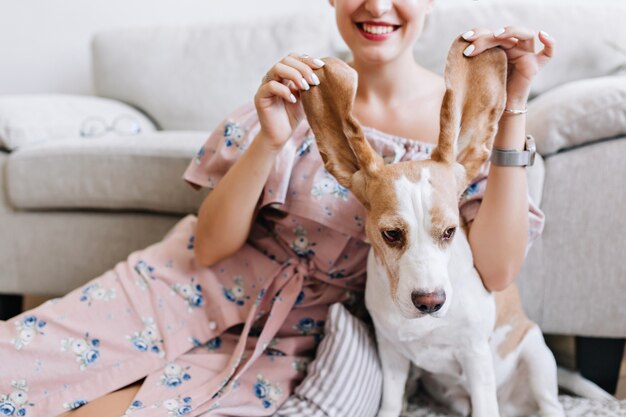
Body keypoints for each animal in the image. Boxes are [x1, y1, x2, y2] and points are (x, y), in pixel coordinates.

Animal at [302, 39, 564, 416]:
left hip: (537, 353)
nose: (430, 302)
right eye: (391, 234)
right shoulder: (392, 355)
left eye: (450, 232)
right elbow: (390, 403)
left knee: (549, 402)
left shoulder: (475, 356)